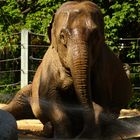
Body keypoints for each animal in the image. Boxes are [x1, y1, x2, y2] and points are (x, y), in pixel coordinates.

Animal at [1, 0, 132, 138]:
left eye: (96, 36)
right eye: (62, 36)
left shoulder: (103, 70)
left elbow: (101, 103)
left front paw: (86, 136)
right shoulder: (49, 70)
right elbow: (49, 100)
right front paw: (63, 136)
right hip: (28, 91)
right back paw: (48, 128)